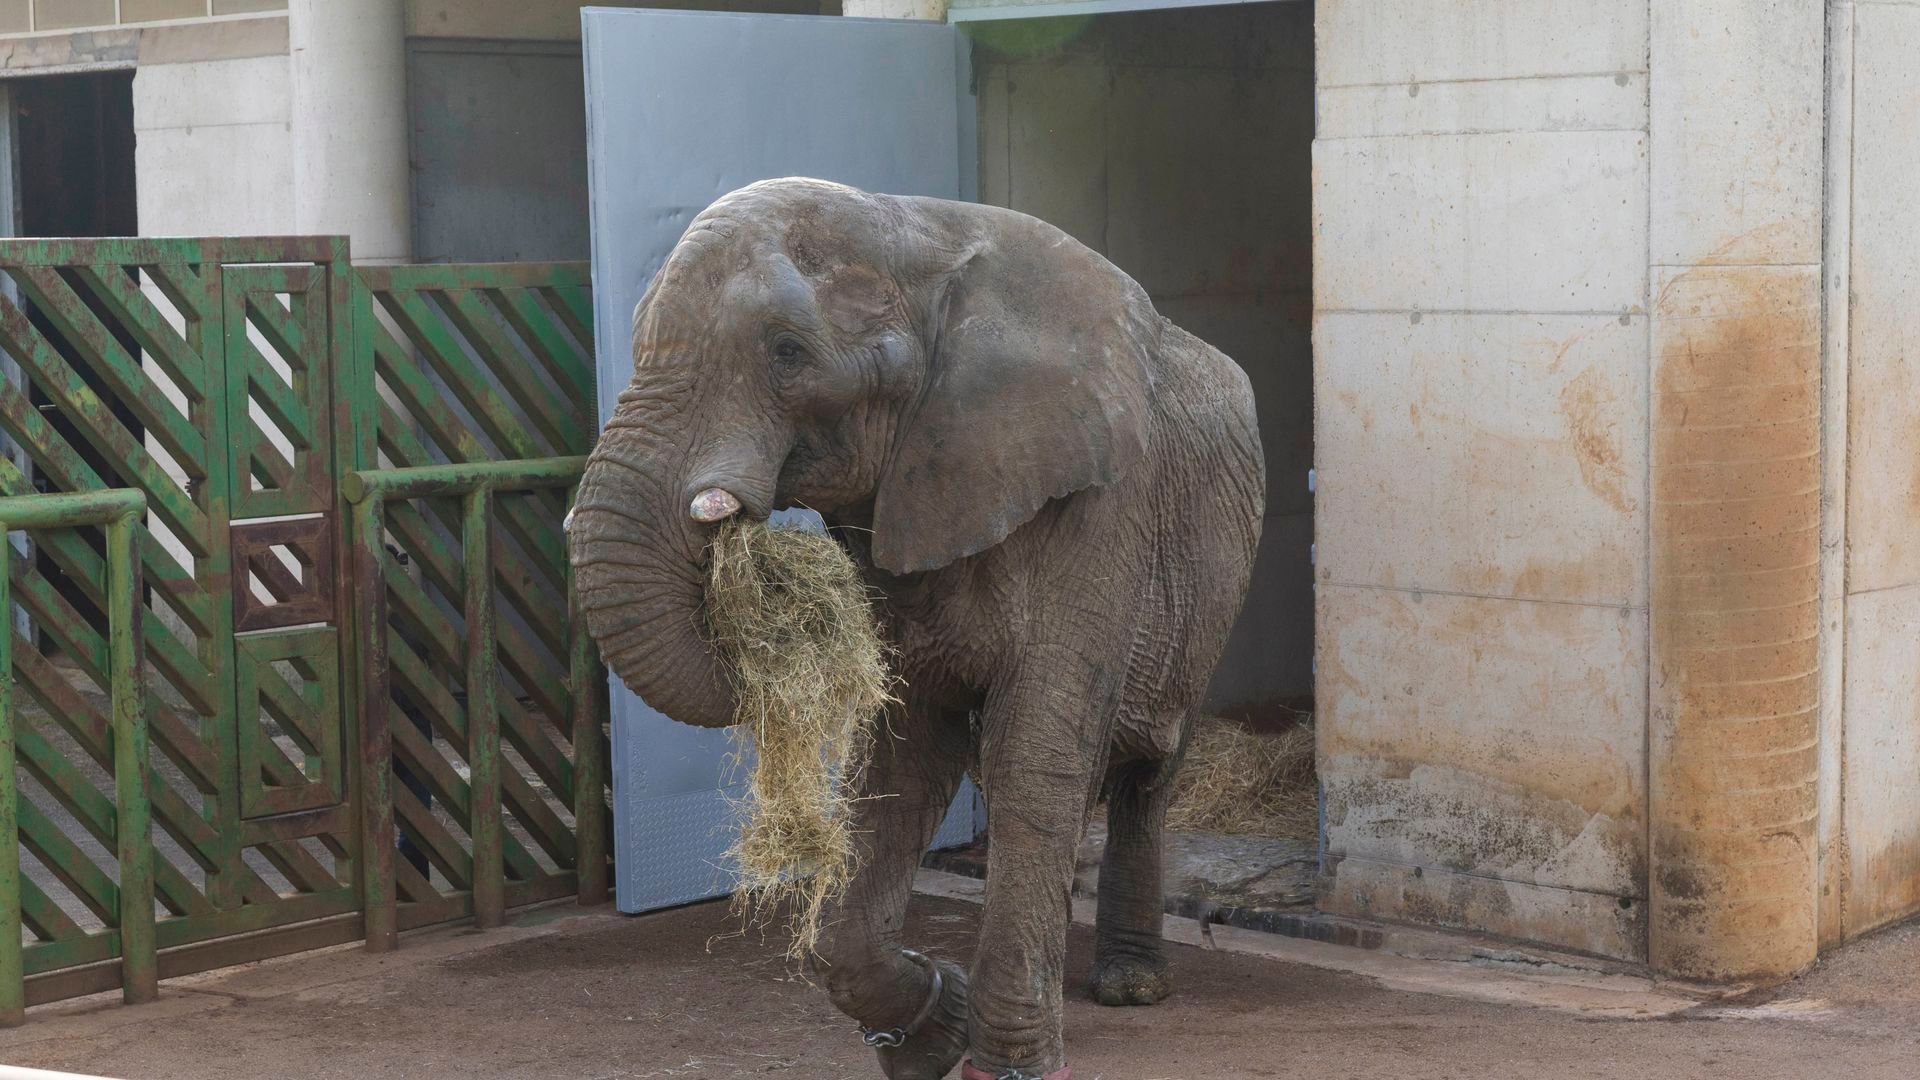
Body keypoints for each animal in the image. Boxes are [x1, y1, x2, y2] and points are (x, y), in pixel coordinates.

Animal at [569, 178, 1265, 1080]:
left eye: (787, 353)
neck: (914, 230)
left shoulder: (1106, 503)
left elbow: (1034, 749)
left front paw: (1008, 1063)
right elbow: (903, 750)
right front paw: (939, 1030)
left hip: (1211, 593)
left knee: (1147, 771)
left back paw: (1129, 987)